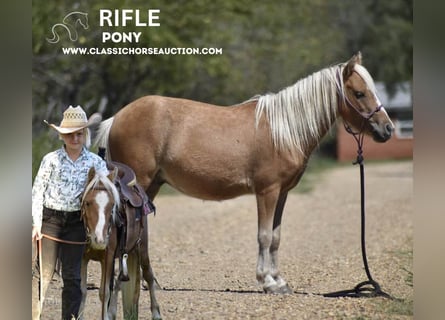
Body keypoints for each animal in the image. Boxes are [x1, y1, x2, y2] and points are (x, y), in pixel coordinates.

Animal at [79, 164, 160, 318]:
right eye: (87, 203)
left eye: (112, 205)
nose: (99, 239)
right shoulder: (83, 258)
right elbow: (82, 290)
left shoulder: (107, 257)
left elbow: (104, 292)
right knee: (118, 279)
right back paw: (112, 312)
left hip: (142, 247)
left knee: (148, 275)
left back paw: (156, 313)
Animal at [93, 52, 392, 292]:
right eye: (359, 93)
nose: (387, 129)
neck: (284, 130)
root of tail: (117, 118)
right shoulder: (267, 191)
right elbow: (264, 235)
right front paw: (267, 282)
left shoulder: (282, 193)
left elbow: (276, 237)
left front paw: (279, 280)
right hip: (139, 183)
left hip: (151, 186)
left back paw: (150, 282)